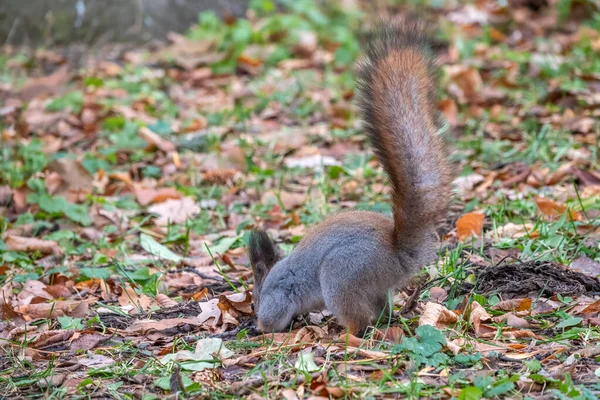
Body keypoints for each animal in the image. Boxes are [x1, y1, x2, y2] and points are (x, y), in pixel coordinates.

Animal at [247, 18, 450, 332]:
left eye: (254, 303)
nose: (252, 315)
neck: (271, 277)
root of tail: (397, 255)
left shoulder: (279, 295)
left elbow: (274, 317)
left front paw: (263, 328)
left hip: (341, 274)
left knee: (359, 322)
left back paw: (343, 334)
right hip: (372, 286)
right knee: (381, 313)